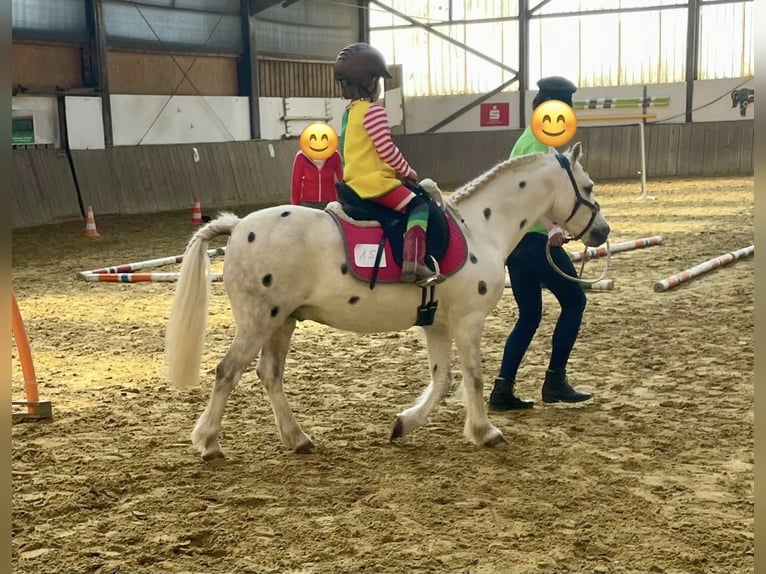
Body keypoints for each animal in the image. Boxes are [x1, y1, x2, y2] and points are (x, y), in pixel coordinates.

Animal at [165, 142, 610, 460]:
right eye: (588, 188)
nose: (603, 232)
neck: (480, 227)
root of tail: (239, 226)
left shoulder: (437, 324)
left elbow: (442, 380)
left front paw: (404, 424)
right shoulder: (468, 321)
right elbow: (473, 377)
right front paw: (485, 432)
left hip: (282, 320)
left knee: (269, 374)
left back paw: (298, 438)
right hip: (259, 320)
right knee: (228, 372)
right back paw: (209, 442)